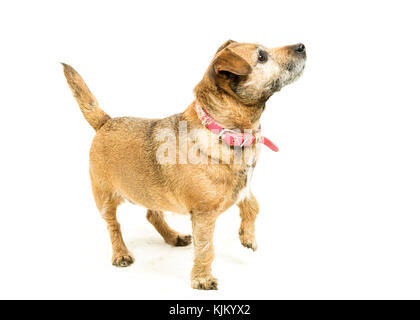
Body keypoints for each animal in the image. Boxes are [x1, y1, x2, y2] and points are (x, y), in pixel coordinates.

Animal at [61, 38, 306, 288]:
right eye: (261, 57)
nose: (302, 46)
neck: (222, 131)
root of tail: (105, 122)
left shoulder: (244, 188)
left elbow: (253, 204)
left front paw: (248, 236)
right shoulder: (203, 216)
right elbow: (206, 248)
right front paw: (202, 278)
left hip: (151, 191)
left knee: (152, 215)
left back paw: (172, 237)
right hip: (105, 198)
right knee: (114, 225)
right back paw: (120, 253)